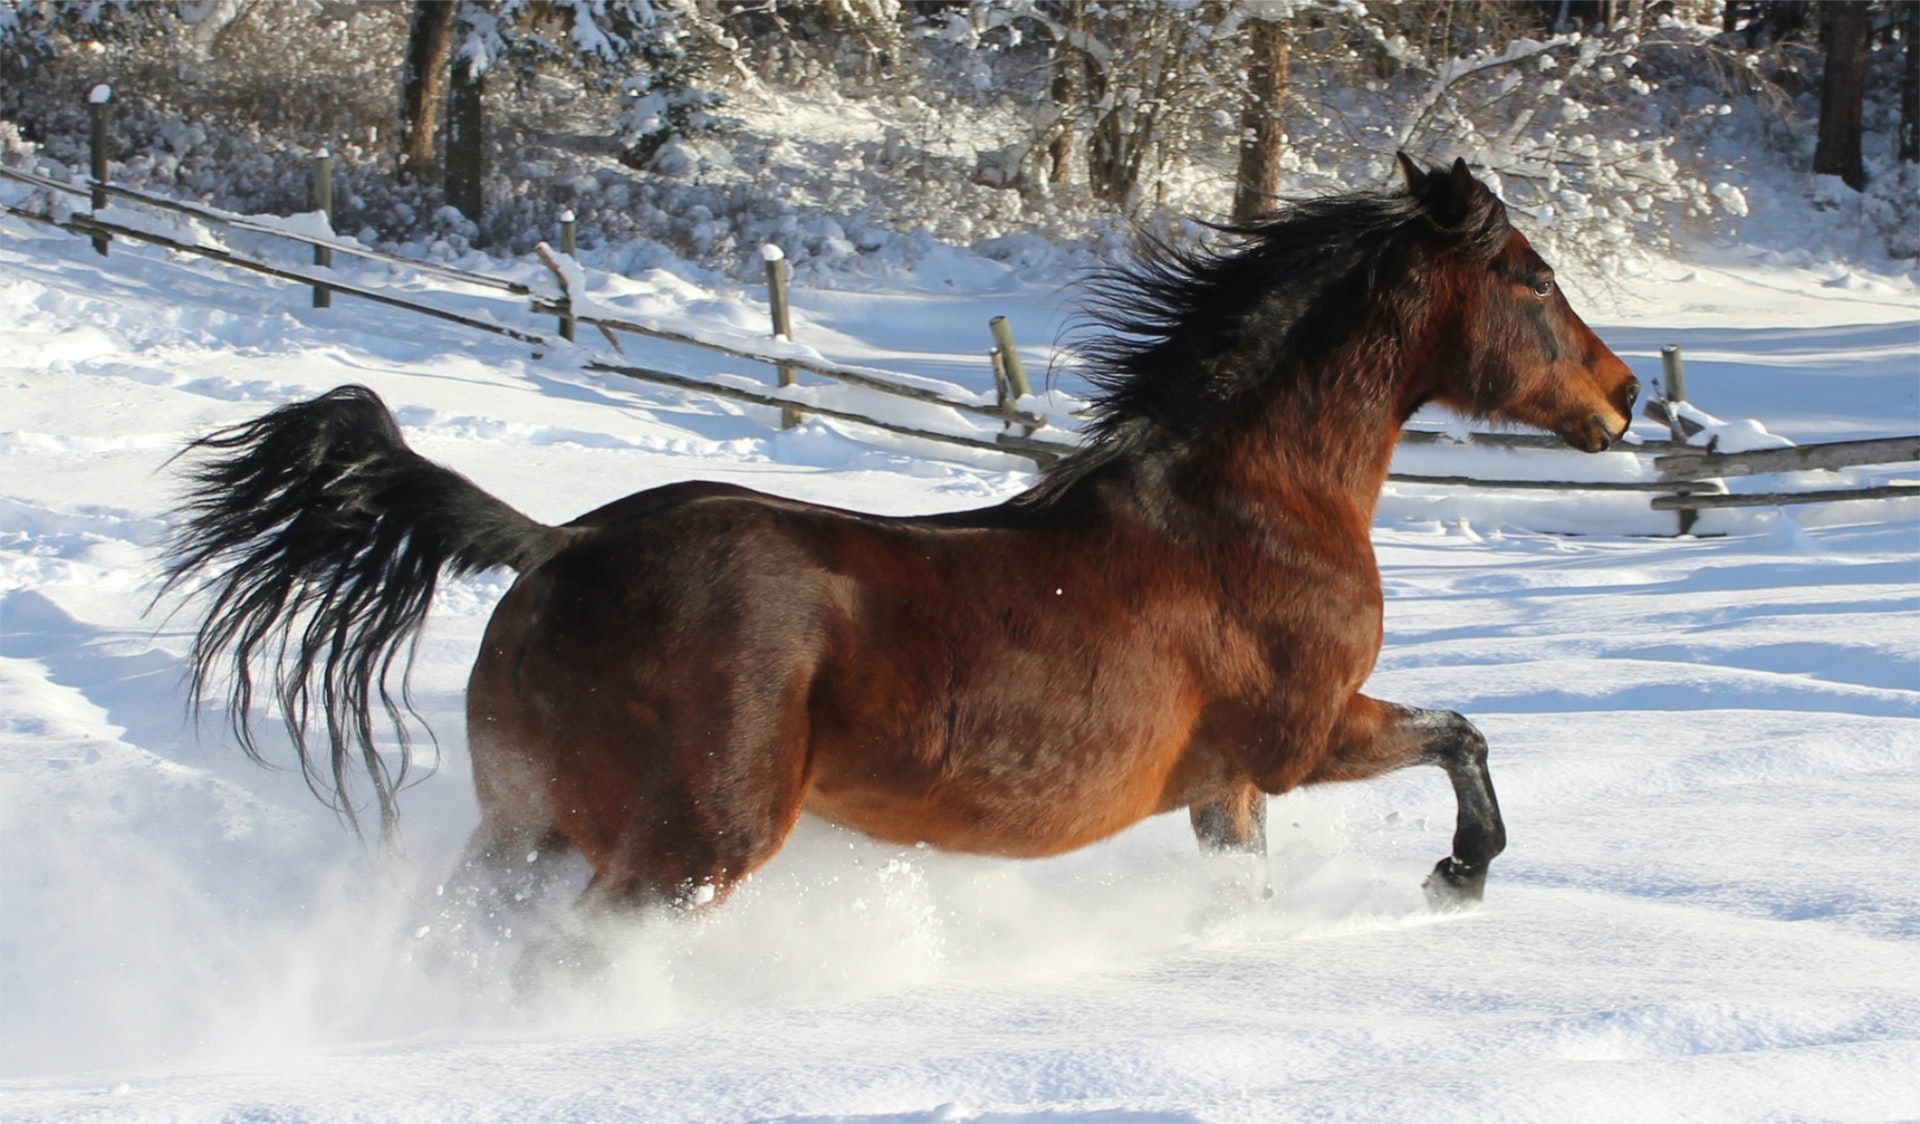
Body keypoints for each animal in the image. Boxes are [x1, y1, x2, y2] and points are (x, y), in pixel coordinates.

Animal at [162, 156, 1638, 949]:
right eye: (1532, 275)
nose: (1624, 396)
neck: (1247, 509)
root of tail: (559, 541)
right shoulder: (1301, 732)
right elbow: (1466, 733)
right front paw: (1459, 875)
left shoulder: (1228, 785)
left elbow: (1260, 874)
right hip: (681, 848)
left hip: (523, 825)